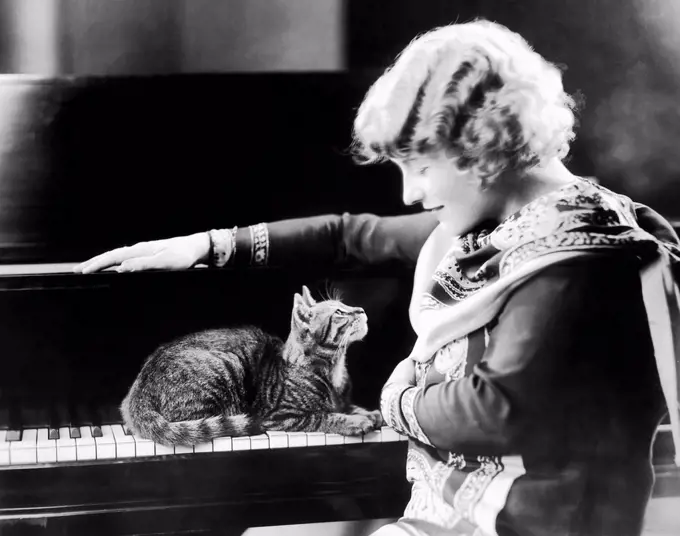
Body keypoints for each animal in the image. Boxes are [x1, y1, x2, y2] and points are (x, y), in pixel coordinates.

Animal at [121, 286, 382, 446]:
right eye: (340, 312)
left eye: (345, 305)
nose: (361, 309)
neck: (334, 370)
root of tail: (136, 393)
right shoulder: (280, 416)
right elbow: (324, 416)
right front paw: (355, 421)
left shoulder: (344, 400)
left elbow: (351, 407)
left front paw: (369, 413)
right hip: (227, 365)